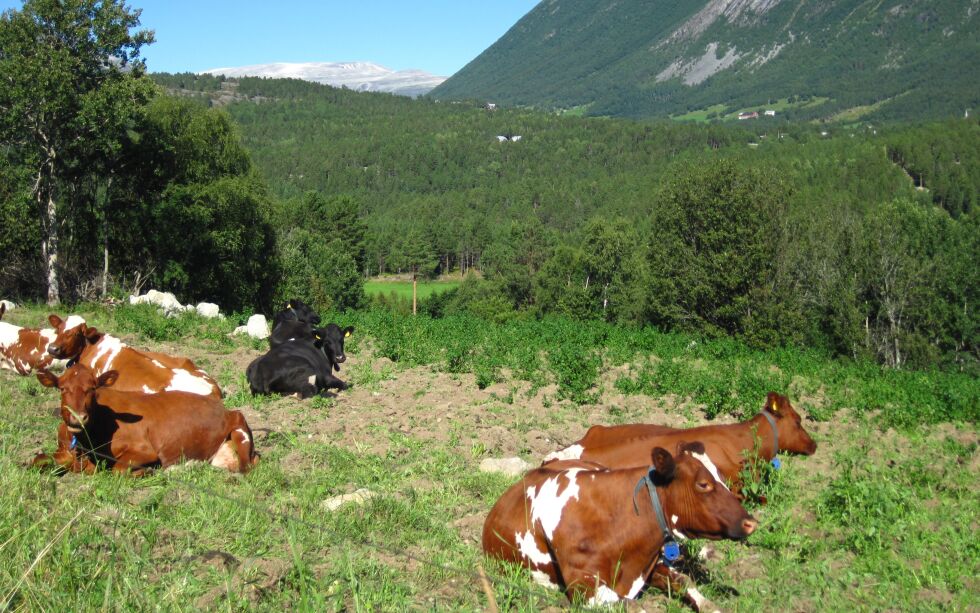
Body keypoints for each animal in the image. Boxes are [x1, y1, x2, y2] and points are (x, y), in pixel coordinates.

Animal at [34, 364, 258, 474]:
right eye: (62, 388)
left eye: (92, 388)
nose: (78, 418)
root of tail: (223, 407)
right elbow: (39, 459)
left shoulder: (145, 450)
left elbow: (117, 470)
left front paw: (147, 471)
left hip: (240, 429)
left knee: (247, 469)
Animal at [484, 442, 756, 608]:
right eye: (703, 484)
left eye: (721, 477)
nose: (751, 522)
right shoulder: (585, 588)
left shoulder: (651, 561)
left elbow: (687, 583)